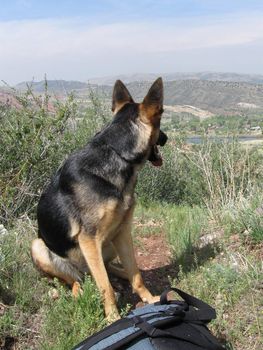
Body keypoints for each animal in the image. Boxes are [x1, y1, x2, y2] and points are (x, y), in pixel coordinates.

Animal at [30, 78, 167, 322]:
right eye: (161, 123)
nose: (167, 138)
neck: (116, 153)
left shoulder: (122, 231)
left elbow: (136, 274)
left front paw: (150, 299)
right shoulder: (89, 239)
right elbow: (105, 287)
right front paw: (113, 318)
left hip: (109, 243)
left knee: (109, 269)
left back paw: (120, 275)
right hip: (39, 247)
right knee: (75, 279)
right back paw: (79, 290)